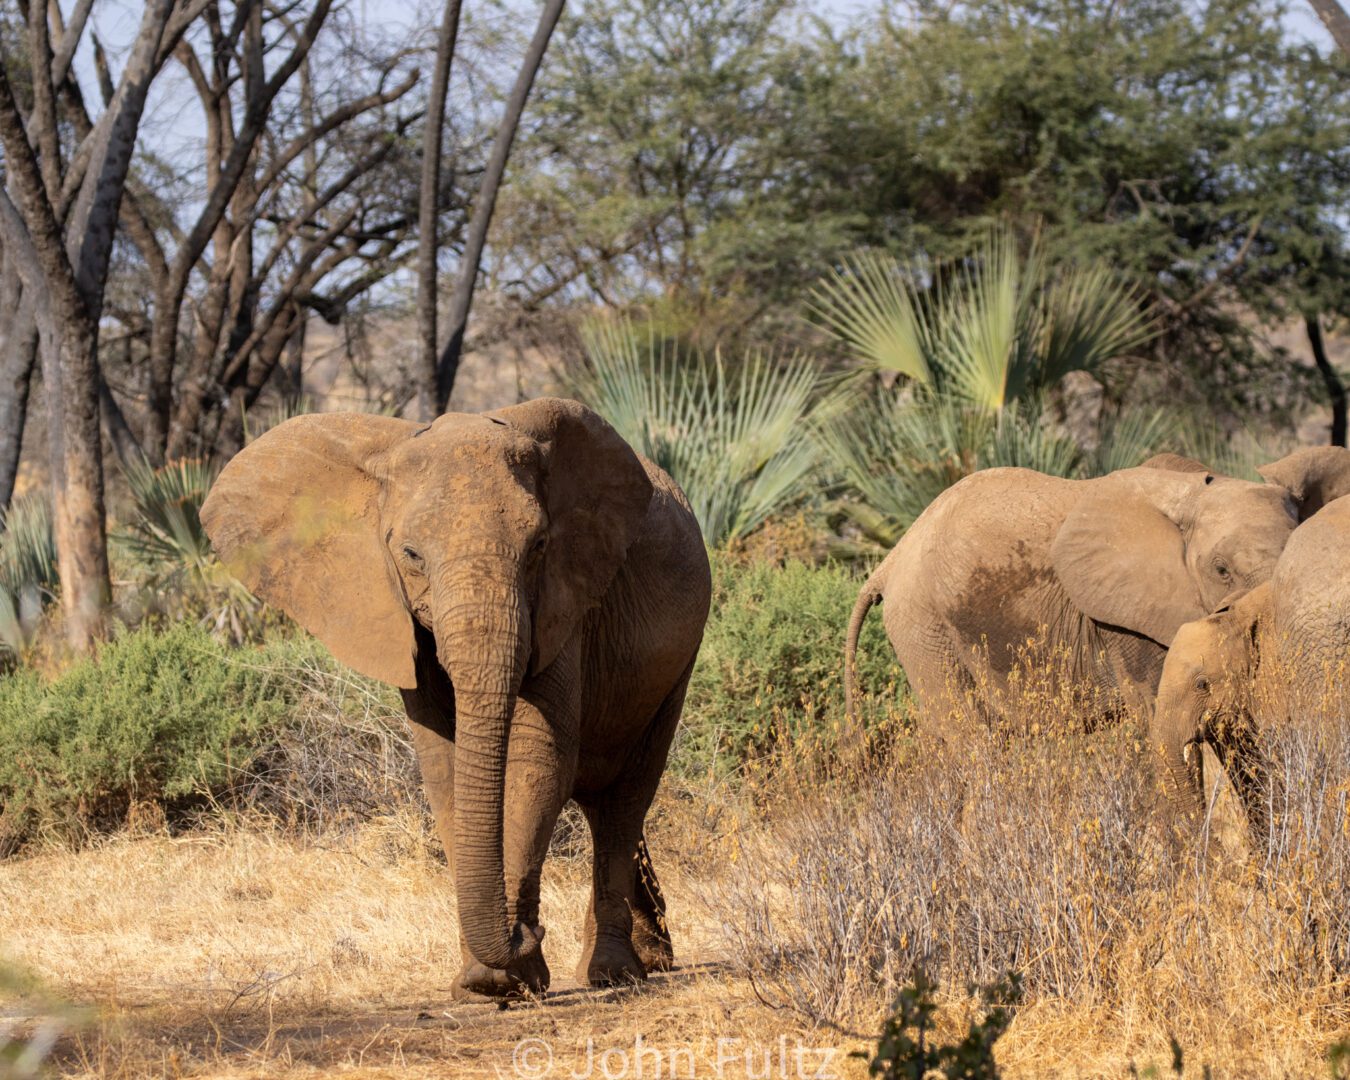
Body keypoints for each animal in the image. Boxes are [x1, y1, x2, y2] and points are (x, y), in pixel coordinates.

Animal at [199, 399, 712, 999]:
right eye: (410, 554)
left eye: (539, 547)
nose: (529, 931)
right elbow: (444, 770)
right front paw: (481, 980)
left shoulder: (564, 601)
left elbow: (537, 760)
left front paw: (510, 979)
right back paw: (649, 959)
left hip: (680, 658)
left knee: (624, 799)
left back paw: (614, 973)